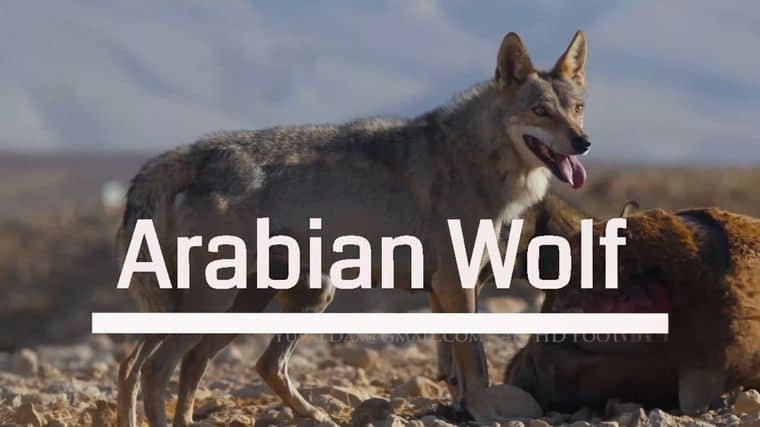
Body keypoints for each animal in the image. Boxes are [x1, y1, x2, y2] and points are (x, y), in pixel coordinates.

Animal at [116, 30, 591, 426]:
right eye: (541, 112)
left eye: (578, 109)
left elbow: (454, 365)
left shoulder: (443, 289)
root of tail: (190, 153)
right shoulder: (456, 284)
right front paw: (485, 414)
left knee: (160, 363)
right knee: (157, 367)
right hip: (219, 303)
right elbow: (476, 363)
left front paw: (459, 410)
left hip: (263, 302)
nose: (583, 143)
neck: (478, 158)